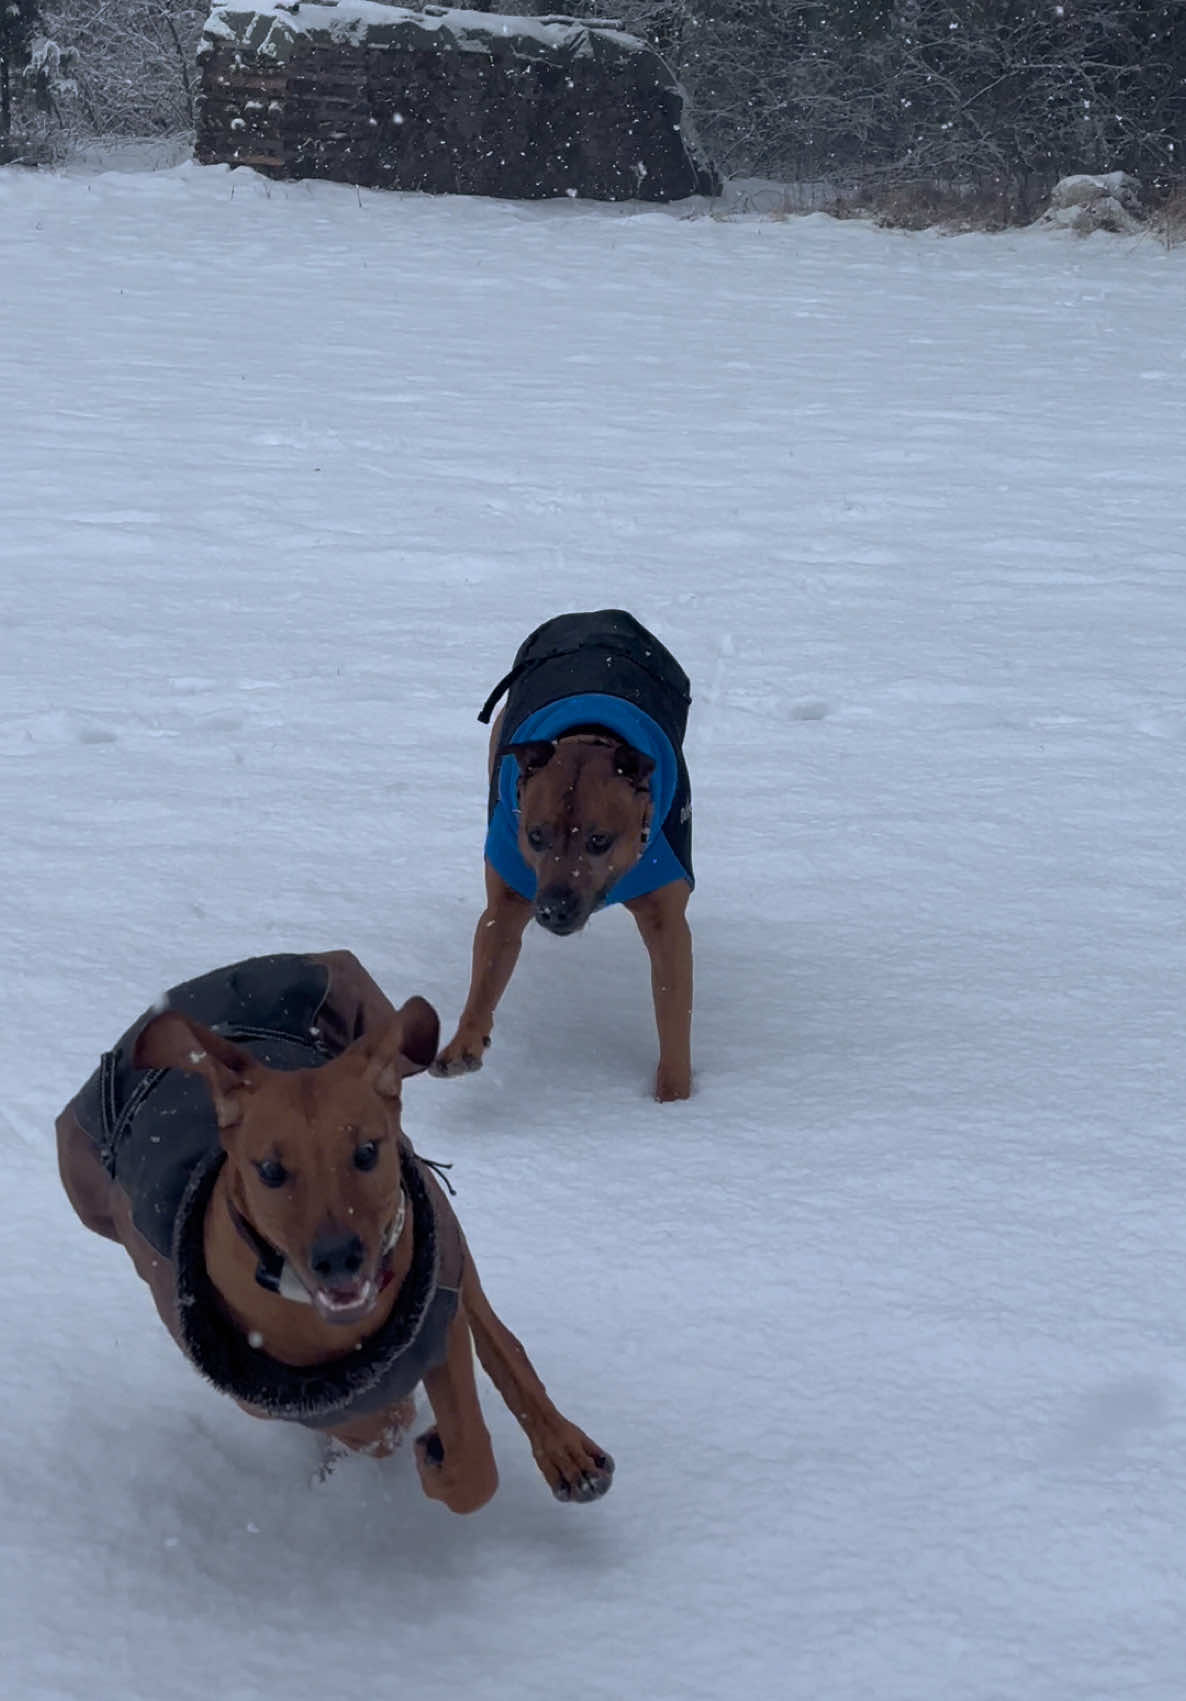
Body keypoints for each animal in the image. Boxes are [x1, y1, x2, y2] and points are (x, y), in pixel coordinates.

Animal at [55, 952, 609, 1524]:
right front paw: (396, 1431)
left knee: (495, 1330)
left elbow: (474, 1465)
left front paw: (438, 1455)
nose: (338, 1258)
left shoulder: (440, 1319)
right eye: (270, 1170)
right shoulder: (263, 1396)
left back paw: (565, 1451)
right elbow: (373, 1423)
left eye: (365, 1151)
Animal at [432, 612, 694, 1102]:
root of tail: (597, 616)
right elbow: (487, 970)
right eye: (535, 836)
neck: (589, 738)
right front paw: (463, 1043)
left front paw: (675, 1101)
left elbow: (673, 1010)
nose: (552, 910)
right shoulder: (508, 897)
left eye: (599, 840)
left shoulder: (667, 917)